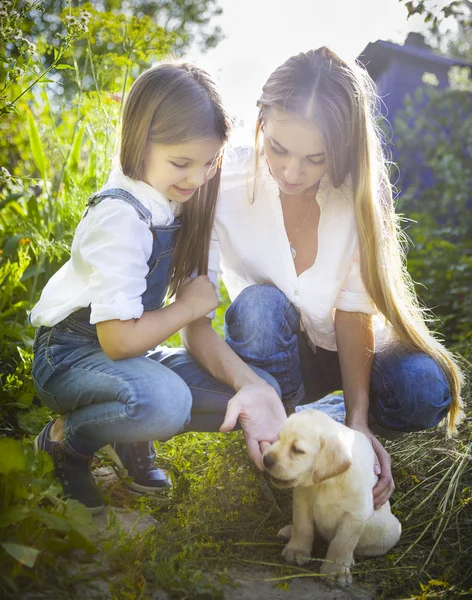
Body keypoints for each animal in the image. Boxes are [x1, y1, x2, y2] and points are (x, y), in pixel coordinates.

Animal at [264, 410, 400, 584]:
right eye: (278, 437)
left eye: (297, 449)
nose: (265, 459)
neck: (326, 483)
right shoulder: (301, 499)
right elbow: (302, 526)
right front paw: (296, 550)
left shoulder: (357, 514)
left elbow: (341, 543)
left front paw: (335, 570)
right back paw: (289, 531)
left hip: (390, 530)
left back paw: (349, 560)